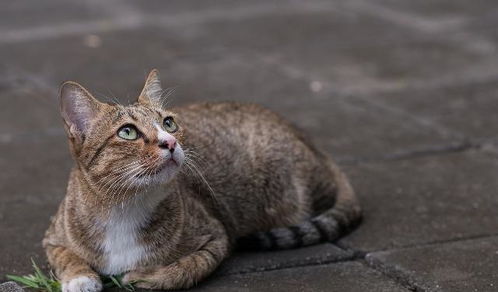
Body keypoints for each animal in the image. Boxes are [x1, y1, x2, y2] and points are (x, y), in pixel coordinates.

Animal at [42, 69, 360, 290]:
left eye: (169, 123)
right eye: (127, 132)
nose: (170, 142)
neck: (124, 206)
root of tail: (312, 143)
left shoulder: (216, 238)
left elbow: (187, 267)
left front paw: (145, 276)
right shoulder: (52, 236)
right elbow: (66, 256)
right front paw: (80, 279)